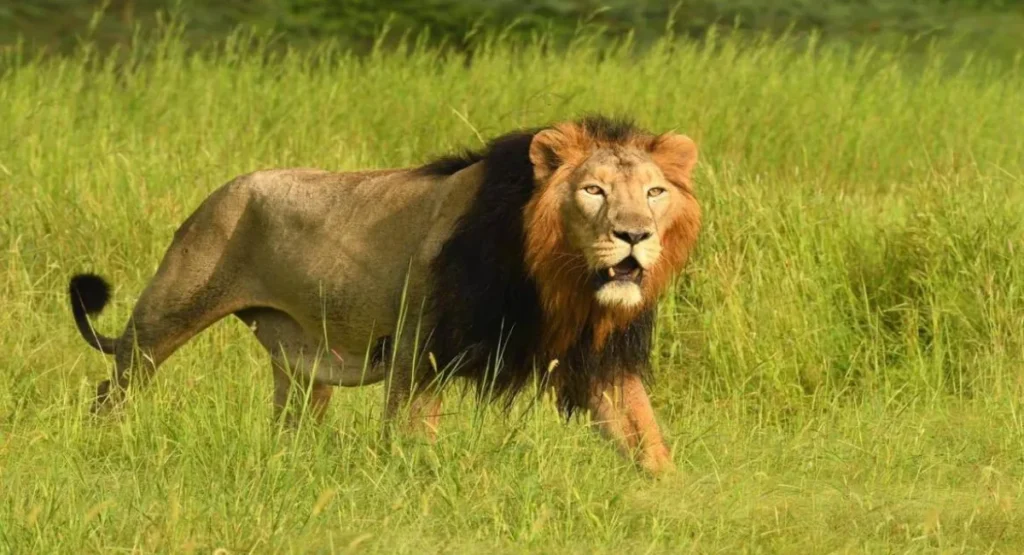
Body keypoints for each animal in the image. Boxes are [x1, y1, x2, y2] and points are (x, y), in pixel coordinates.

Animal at [68, 115, 701, 475]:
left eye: (654, 192)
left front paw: (676, 504)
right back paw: (104, 443)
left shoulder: (599, 359)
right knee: (114, 385)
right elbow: (411, 437)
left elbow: (646, 439)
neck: (556, 279)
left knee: (290, 420)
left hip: (302, 364)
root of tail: (221, 191)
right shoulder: (419, 350)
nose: (635, 235)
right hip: (165, 314)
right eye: (593, 191)